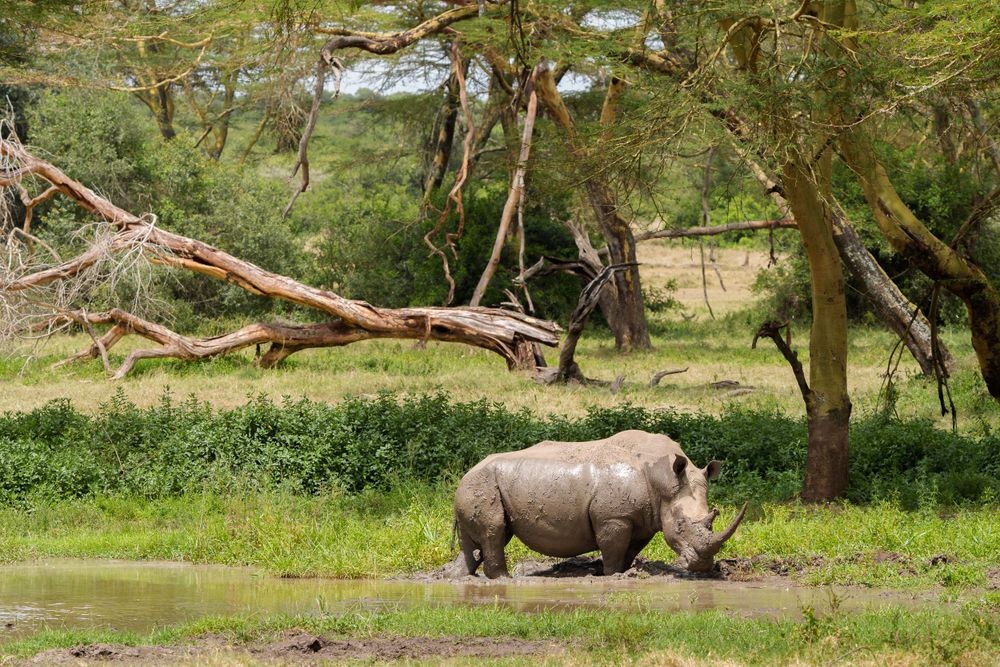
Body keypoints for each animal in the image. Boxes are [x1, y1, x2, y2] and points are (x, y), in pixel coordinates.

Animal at [453, 429, 746, 577]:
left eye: (712, 518)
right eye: (682, 525)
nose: (702, 566)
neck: (664, 480)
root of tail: (464, 475)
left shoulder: (643, 519)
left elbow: (629, 551)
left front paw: (625, 573)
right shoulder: (614, 517)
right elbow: (613, 552)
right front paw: (612, 576)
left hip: (476, 487)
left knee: (482, 540)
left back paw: (465, 577)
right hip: (480, 485)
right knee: (494, 533)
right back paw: (504, 580)